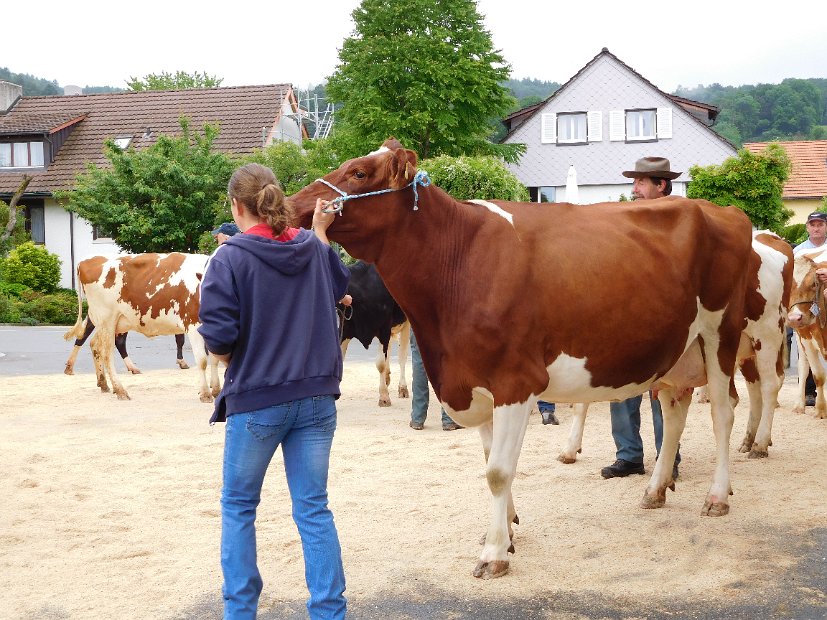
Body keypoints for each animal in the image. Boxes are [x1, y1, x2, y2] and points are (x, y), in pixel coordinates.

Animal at [63, 252, 220, 402]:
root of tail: (87, 260)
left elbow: (214, 359)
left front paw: (216, 390)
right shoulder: (192, 324)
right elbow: (202, 360)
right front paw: (206, 394)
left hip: (109, 324)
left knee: (95, 344)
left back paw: (104, 384)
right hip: (106, 319)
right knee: (106, 352)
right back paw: (120, 390)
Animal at [340, 260, 410, 406]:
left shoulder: (384, 329)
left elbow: (380, 364)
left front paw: (384, 397)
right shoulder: (345, 330)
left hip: (406, 323)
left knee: (402, 357)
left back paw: (402, 388)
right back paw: (387, 378)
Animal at [556, 230, 796, 462]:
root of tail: (771, 237)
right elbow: (582, 403)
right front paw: (570, 449)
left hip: (767, 333)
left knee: (770, 385)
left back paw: (760, 444)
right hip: (744, 349)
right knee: (753, 388)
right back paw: (749, 439)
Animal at [784, 249, 827, 418]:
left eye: (814, 284)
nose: (794, 318)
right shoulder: (807, 341)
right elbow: (818, 375)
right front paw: (821, 410)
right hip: (800, 337)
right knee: (803, 367)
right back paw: (799, 405)